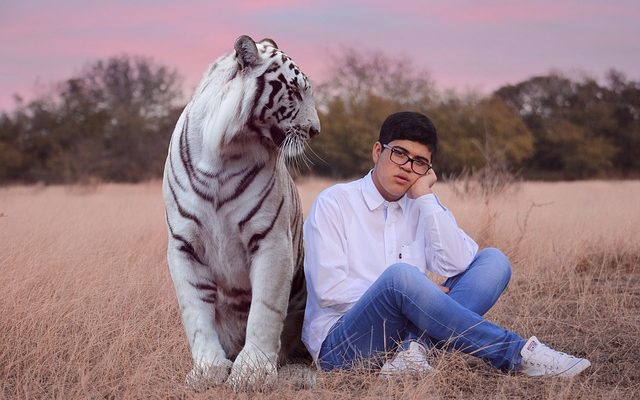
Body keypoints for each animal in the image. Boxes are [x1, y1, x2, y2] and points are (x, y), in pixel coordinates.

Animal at [161, 34, 318, 390]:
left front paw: (252, 372)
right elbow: (194, 311)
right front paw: (208, 370)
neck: (223, 152)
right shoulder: (182, 245)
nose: (316, 129)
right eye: (295, 91)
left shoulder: (271, 240)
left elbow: (265, 309)